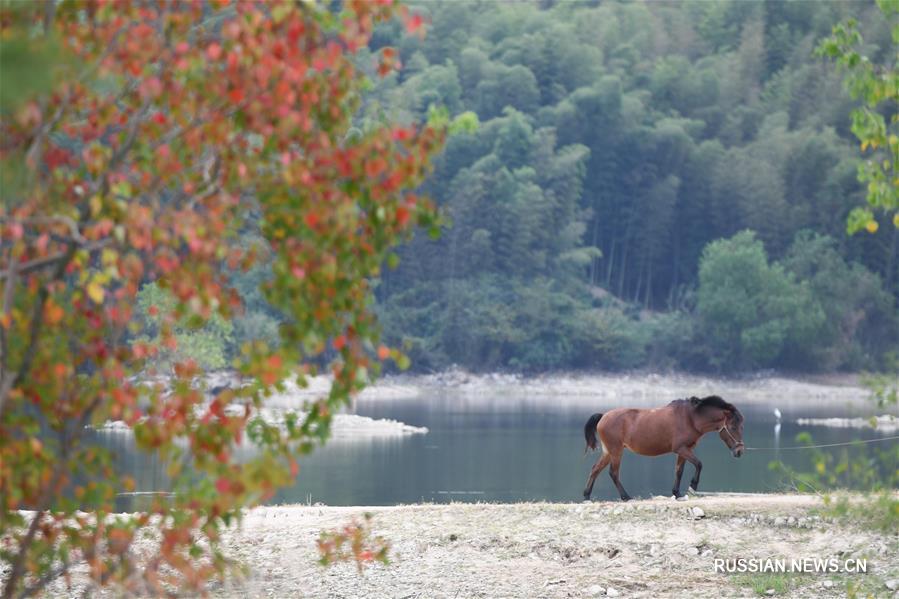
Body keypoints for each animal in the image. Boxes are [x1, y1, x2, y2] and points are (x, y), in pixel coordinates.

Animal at [584, 398, 744, 502]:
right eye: (733, 427)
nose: (740, 451)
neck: (690, 418)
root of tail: (603, 416)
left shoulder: (684, 450)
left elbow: (679, 471)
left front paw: (677, 494)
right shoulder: (681, 448)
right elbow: (699, 464)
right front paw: (692, 487)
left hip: (608, 452)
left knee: (595, 469)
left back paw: (587, 496)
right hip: (616, 451)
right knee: (613, 473)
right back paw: (626, 497)